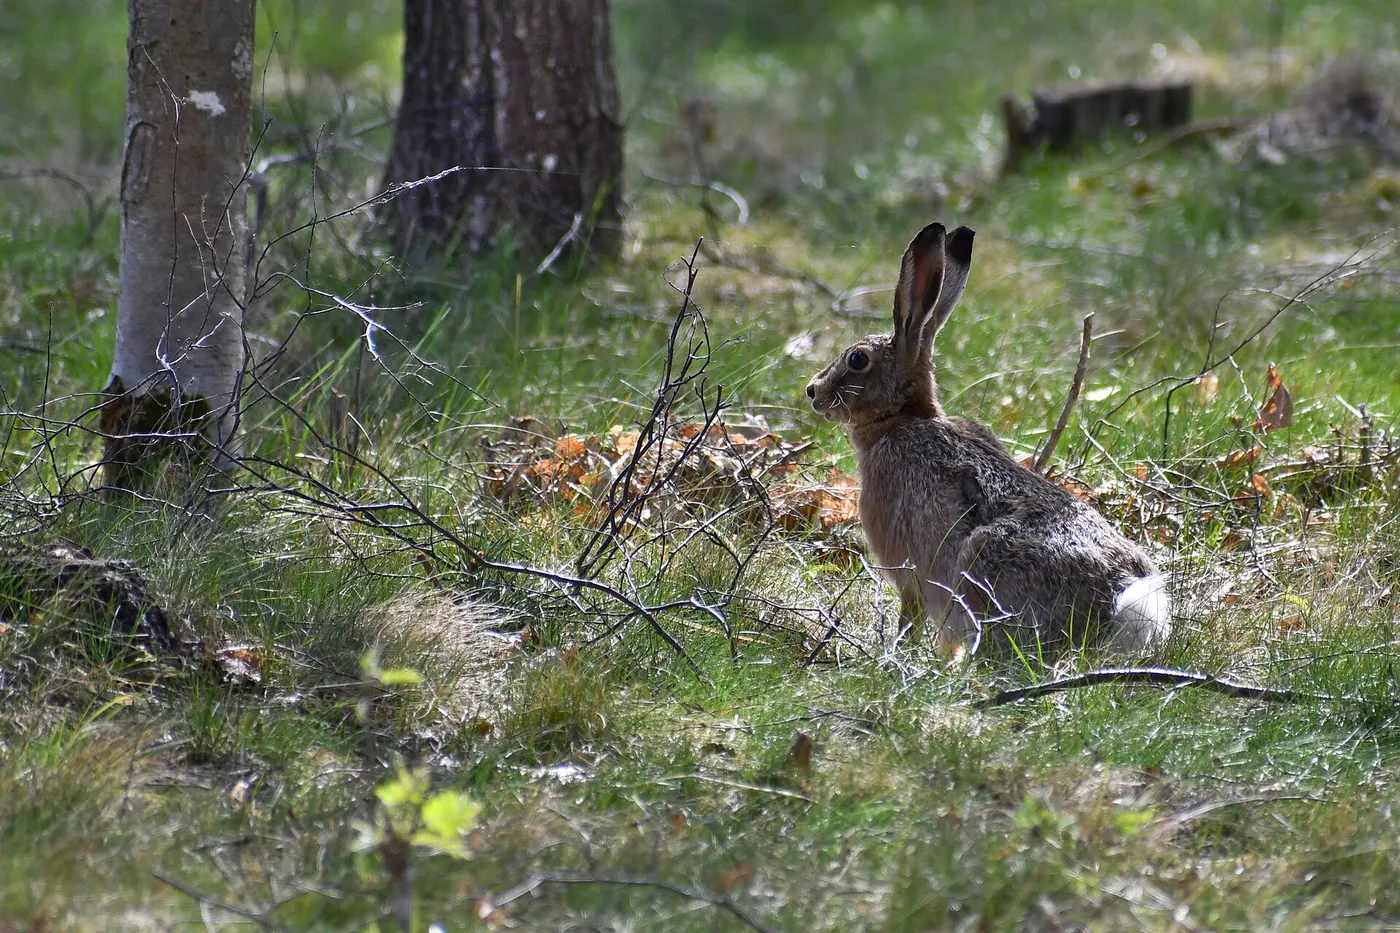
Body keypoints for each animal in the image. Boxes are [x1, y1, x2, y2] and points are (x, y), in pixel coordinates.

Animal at [805, 222, 1170, 656]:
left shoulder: (910, 575)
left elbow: (909, 619)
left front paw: (892, 655)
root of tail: (1119, 605)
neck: (902, 418)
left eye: (857, 359)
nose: (813, 392)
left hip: (978, 567)